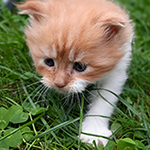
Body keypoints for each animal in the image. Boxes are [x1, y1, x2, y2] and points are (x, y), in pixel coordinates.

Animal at [17, 0, 133, 146]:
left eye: (80, 67)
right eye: (49, 62)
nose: (58, 83)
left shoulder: (116, 73)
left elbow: (103, 101)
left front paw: (93, 133)